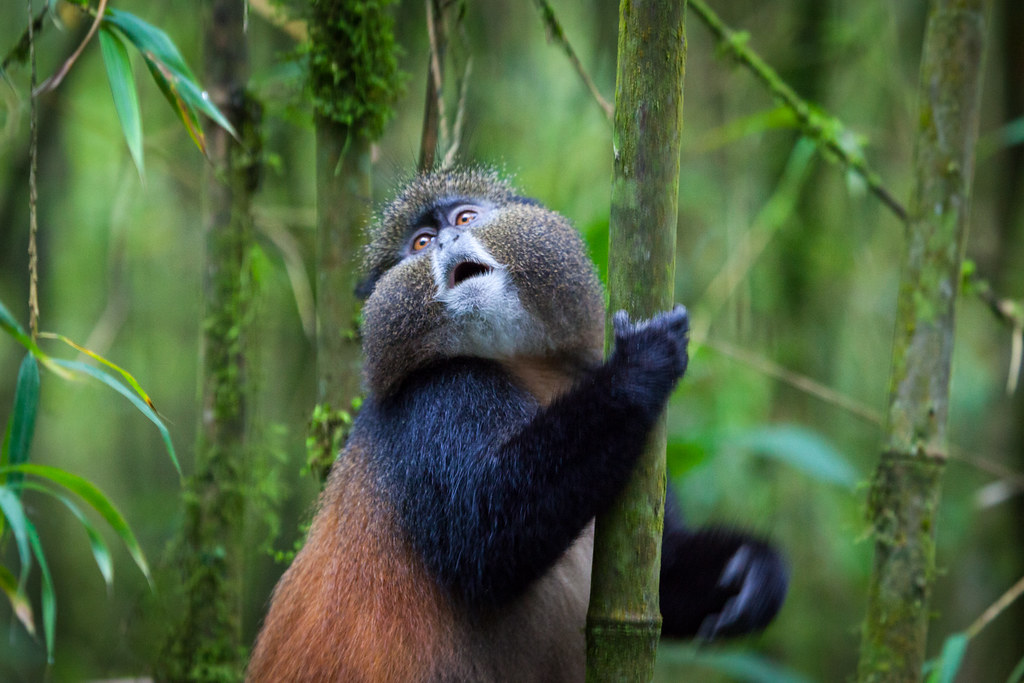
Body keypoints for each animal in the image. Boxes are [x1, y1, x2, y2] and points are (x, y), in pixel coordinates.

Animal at [247, 168, 787, 682]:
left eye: (465, 218)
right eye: (420, 243)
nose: (445, 241)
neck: (524, 366)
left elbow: (661, 584)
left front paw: (750, 573)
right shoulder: (438, 398)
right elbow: (487, 538)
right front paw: (638, 368)